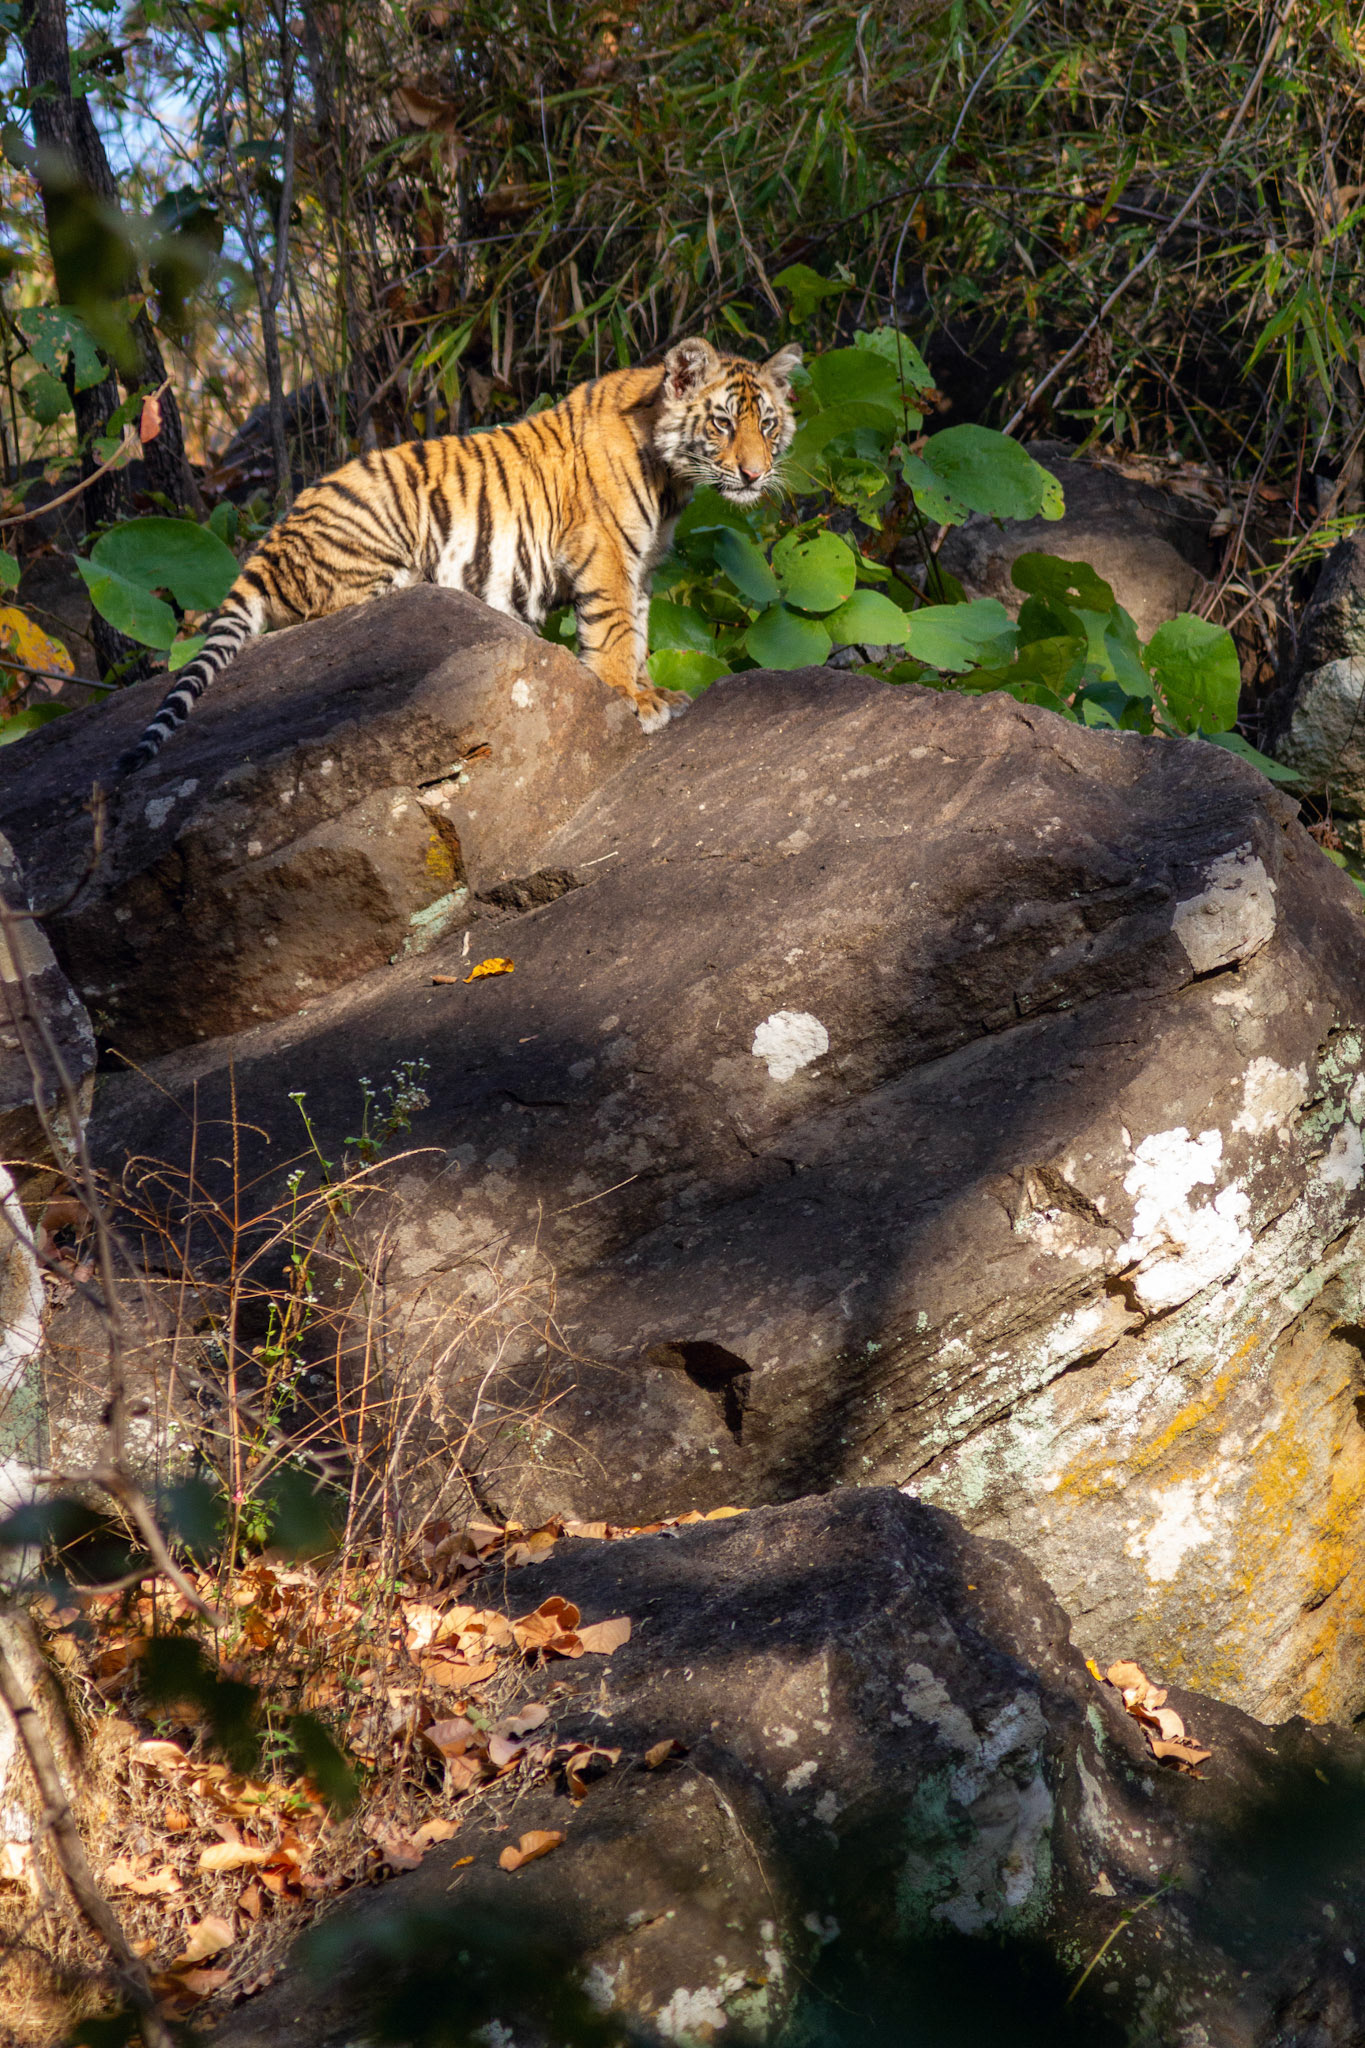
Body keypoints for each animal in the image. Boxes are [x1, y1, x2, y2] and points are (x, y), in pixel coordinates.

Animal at [115, 337, 801, 777]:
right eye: (721, 423)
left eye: (766, 425)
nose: (754, 474)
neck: (672, 479)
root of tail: (269, 542)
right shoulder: (604, 554)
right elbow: (612, 636)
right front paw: (628, 701)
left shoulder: (640, 565)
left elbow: (637, 634)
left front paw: (653, 692)